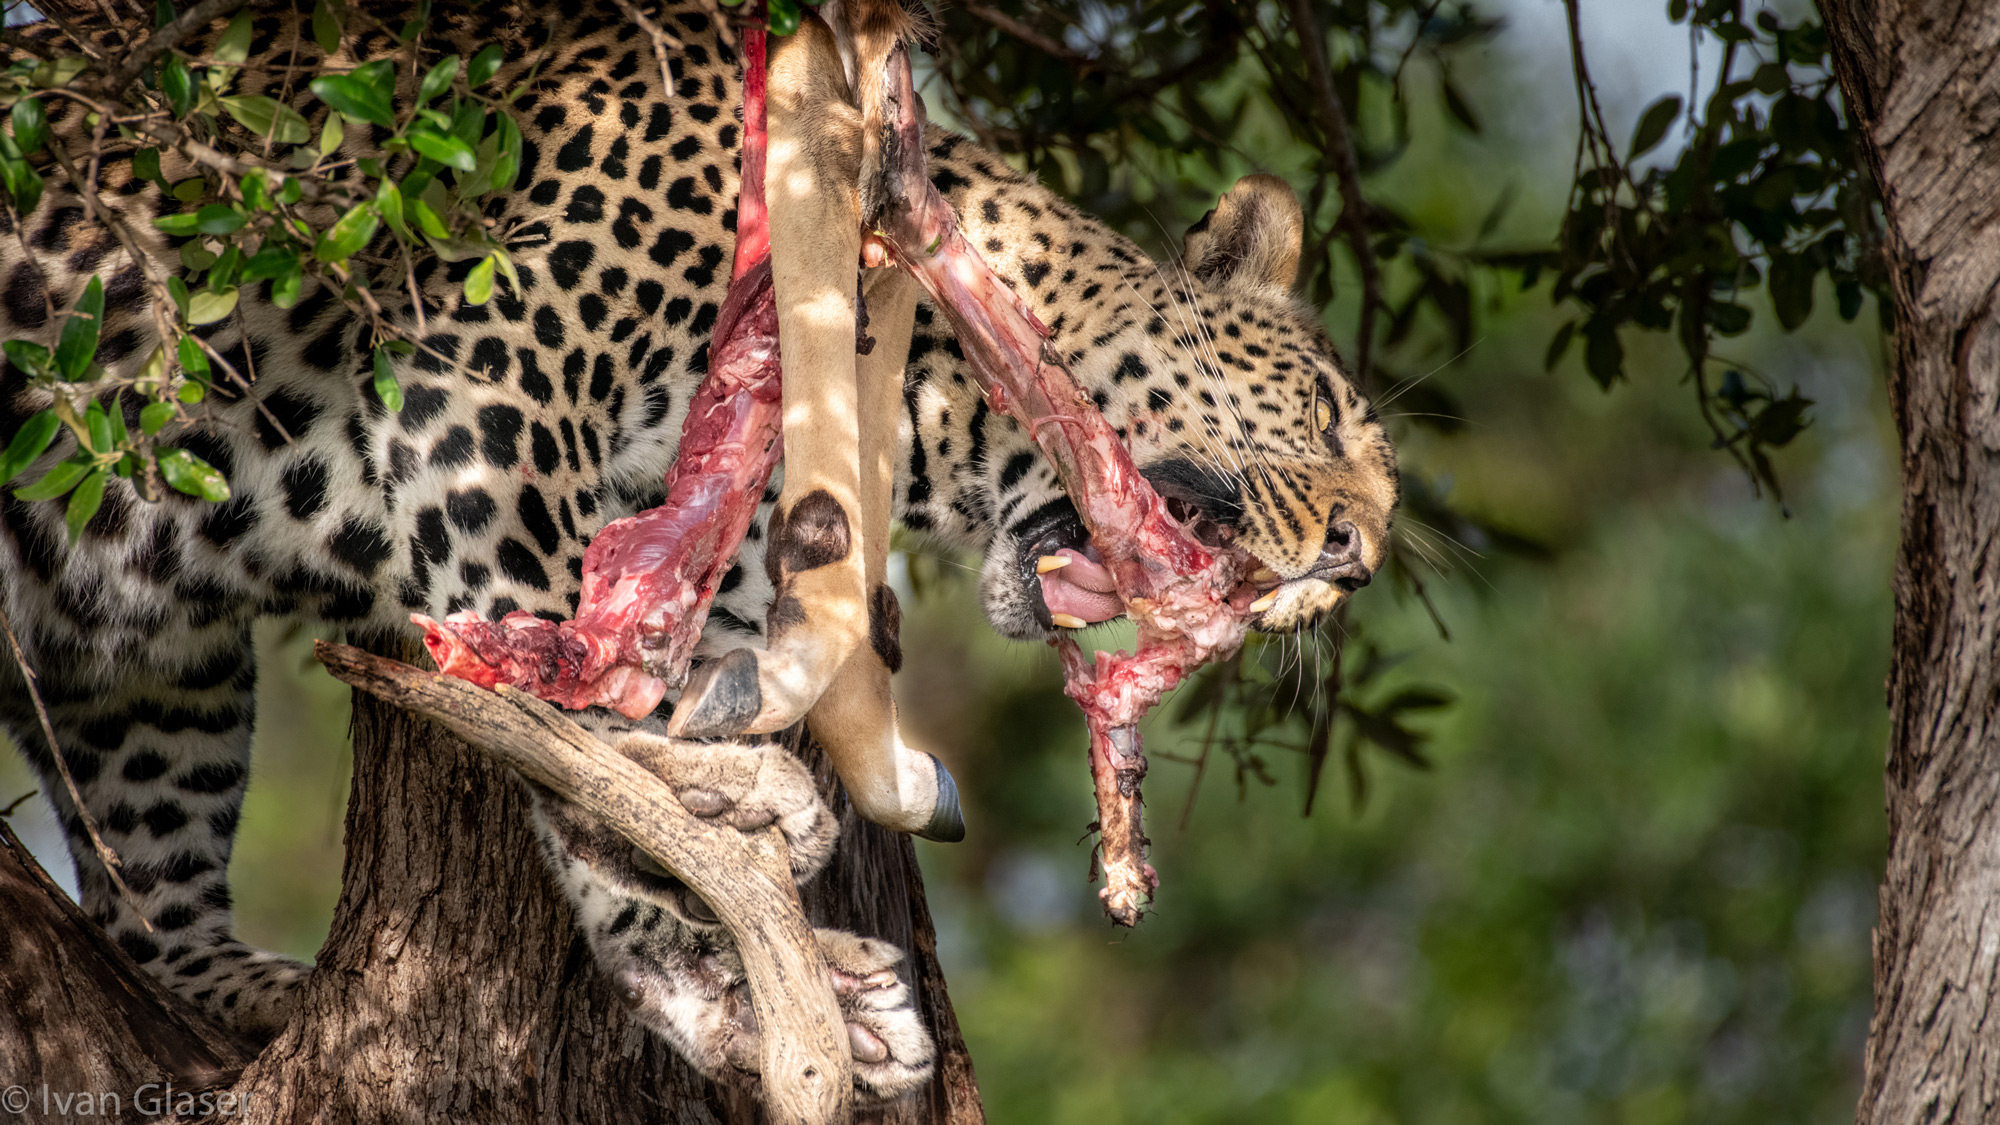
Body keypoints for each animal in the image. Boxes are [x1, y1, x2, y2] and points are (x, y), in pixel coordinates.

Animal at [0, 0, 1400, 1096]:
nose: (1356, 561)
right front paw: (727, 840)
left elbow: (641, 689)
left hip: (150, 667)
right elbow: (554, 669)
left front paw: (733, 969)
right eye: (1326, 415)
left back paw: (255, 987)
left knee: (142, 901)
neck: (902, 376)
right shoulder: (491, 383)